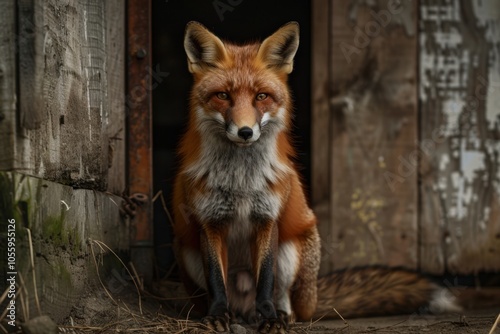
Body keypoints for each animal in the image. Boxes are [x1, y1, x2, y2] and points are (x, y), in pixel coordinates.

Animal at [172, 22, 488, 332]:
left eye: (261, 96)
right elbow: (217, 281)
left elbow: (266, 281)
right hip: (189, 254)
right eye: (223, 95)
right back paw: (233, 316)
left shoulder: (268, 219)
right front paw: (217, 315)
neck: (240, 182)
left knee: (287, 300)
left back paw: (280, 315)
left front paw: (271, 319)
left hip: (293, 251)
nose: (246, 132)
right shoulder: (210, 223)